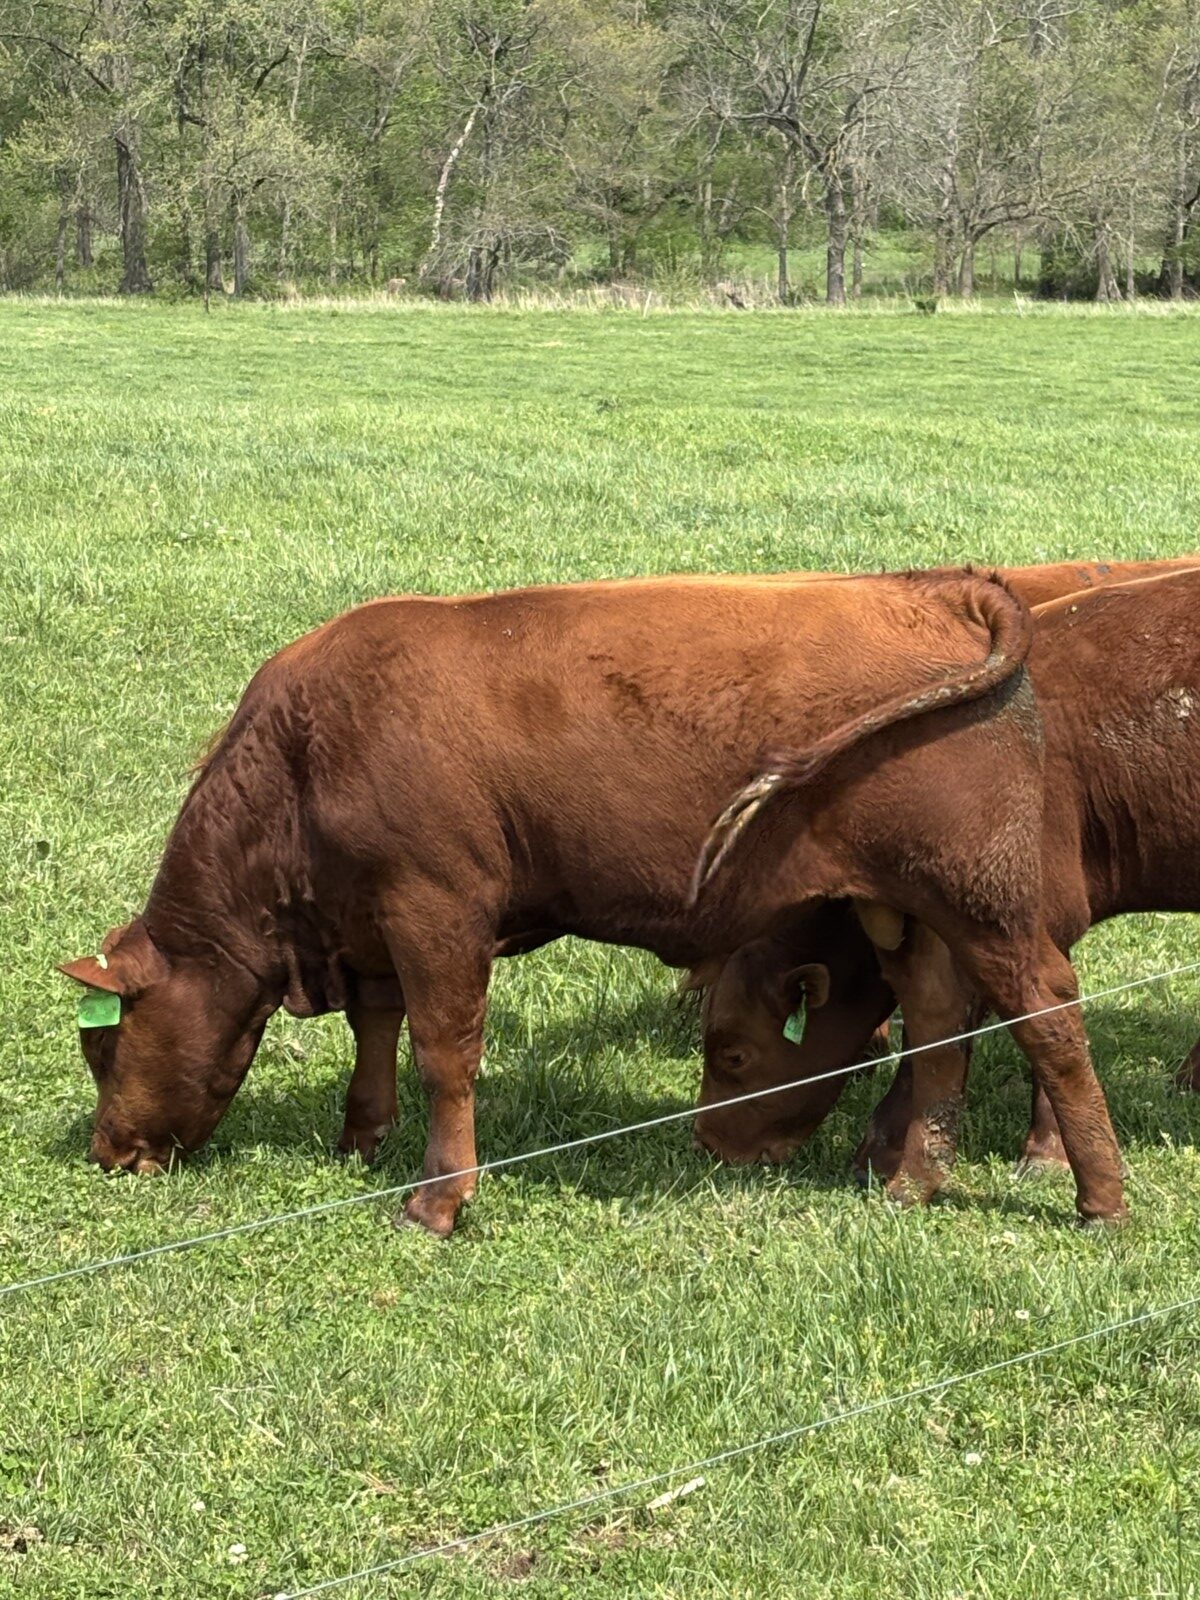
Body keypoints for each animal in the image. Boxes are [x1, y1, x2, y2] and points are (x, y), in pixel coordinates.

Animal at [60, 569, 1034, 1235]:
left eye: (102, 1045)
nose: (106, 1152)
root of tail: (936, 587)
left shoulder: (438, 906)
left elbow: (443, 1054)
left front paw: (438, 1199)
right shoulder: (371, 920)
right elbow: (376, 1026)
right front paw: (361, 1136)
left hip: (971, 903)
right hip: (905, 915)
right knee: (940, 1028)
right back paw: (915, 1176)